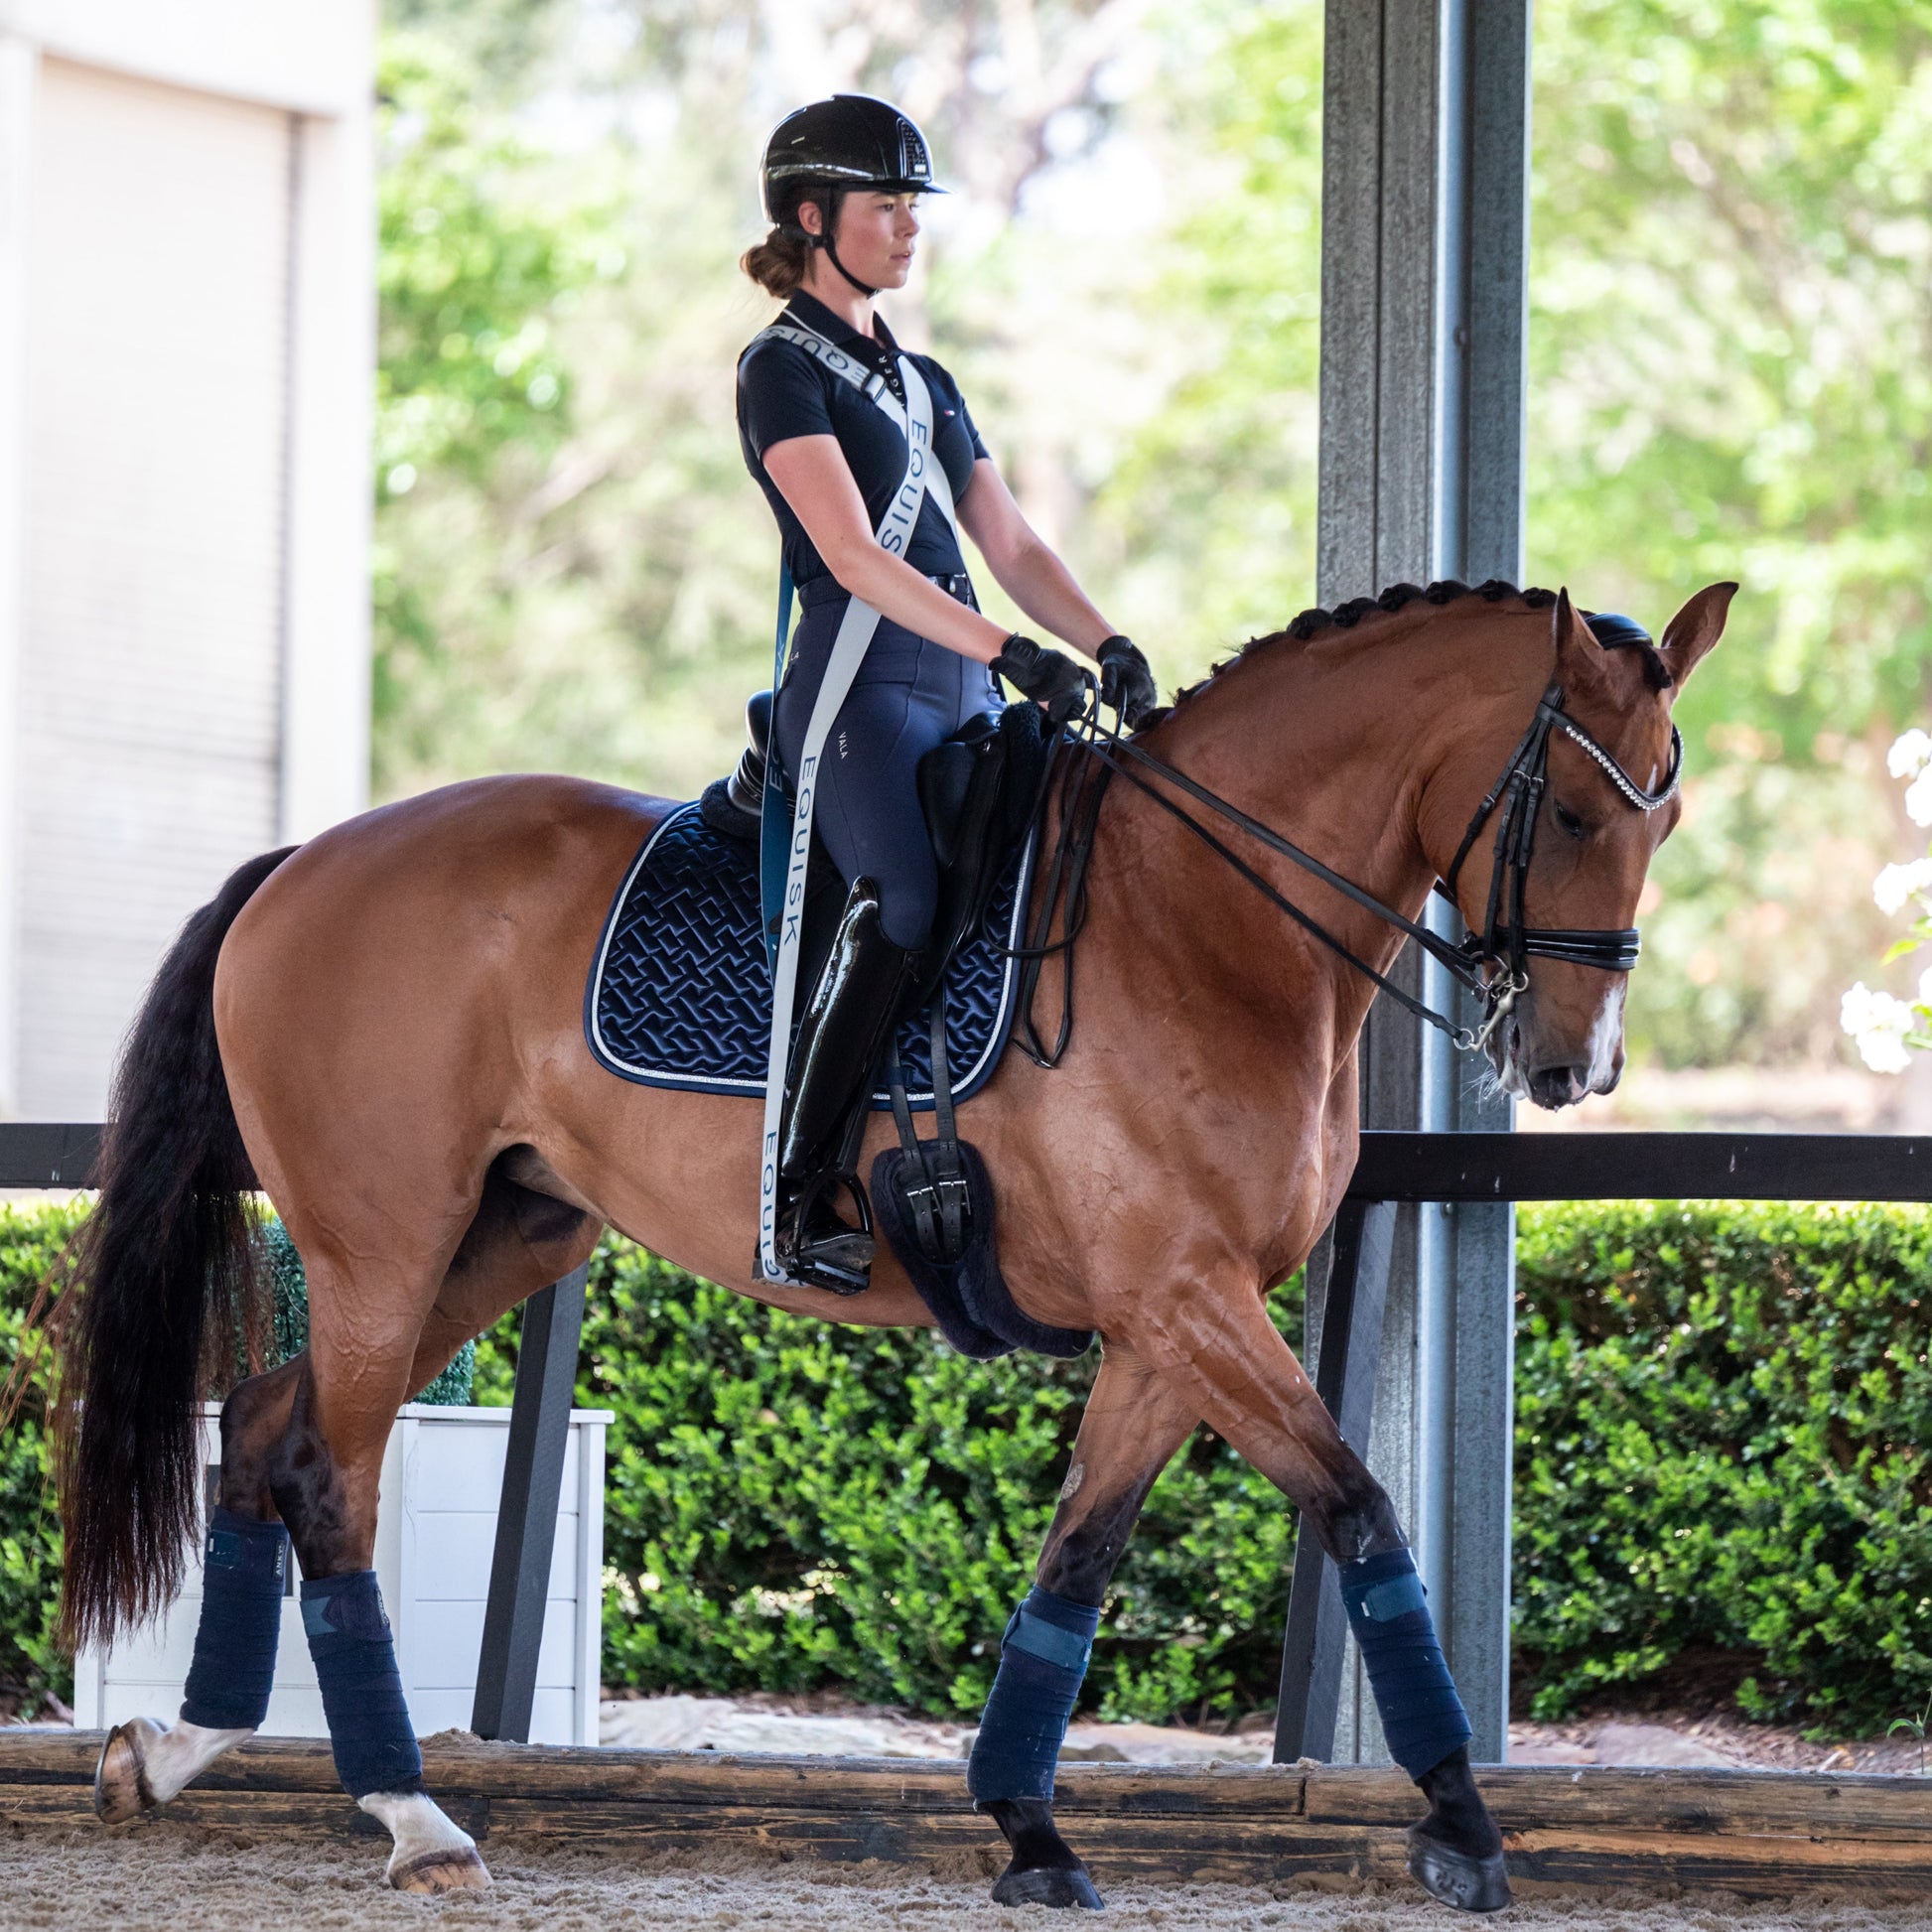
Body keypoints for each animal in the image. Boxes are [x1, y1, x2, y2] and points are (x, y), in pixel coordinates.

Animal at [54, 576, 1730, 1908]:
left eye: (1666, 809)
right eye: (1572, 810)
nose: (1574, 1064)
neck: (1203, 920)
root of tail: (300, 863)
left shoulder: (1165, 1324)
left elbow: (1078, 1561)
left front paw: (1028, 1828)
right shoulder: (1186, 1300)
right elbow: (1361, 1507)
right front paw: (1460, 1819)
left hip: (493, 1239)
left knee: (265, 1428)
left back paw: (180, 1744)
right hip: (385, 1247)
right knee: (331, 1477)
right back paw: (412, 1816)